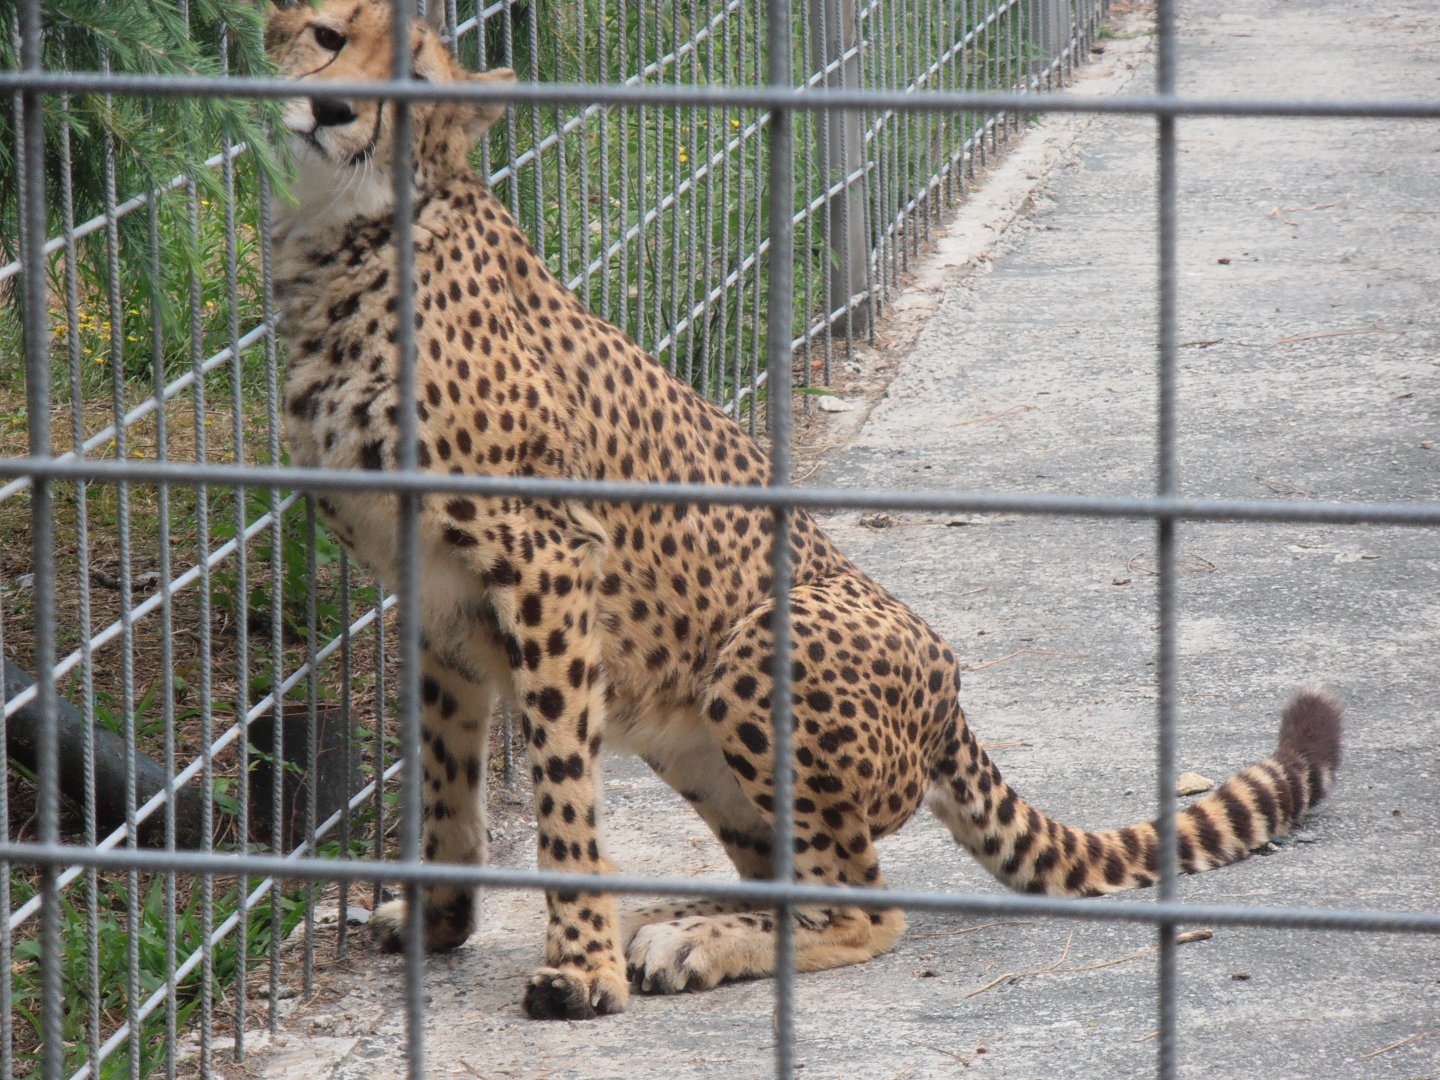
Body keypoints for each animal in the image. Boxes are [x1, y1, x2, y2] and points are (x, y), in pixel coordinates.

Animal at [266, 0, 1343, 1022]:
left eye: (413, 81)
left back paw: (688, 940)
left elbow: (563, 790)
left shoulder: (548, 563)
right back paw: (684, 920)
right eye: (324, 36)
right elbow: (443, 777)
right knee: (793, 875)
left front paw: (579, 968)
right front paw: (440, 921)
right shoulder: (434, 599)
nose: (333, 109)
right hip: (692, 735)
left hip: (758, 649)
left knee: (866, 905)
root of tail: (951, 693)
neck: (342, 239)